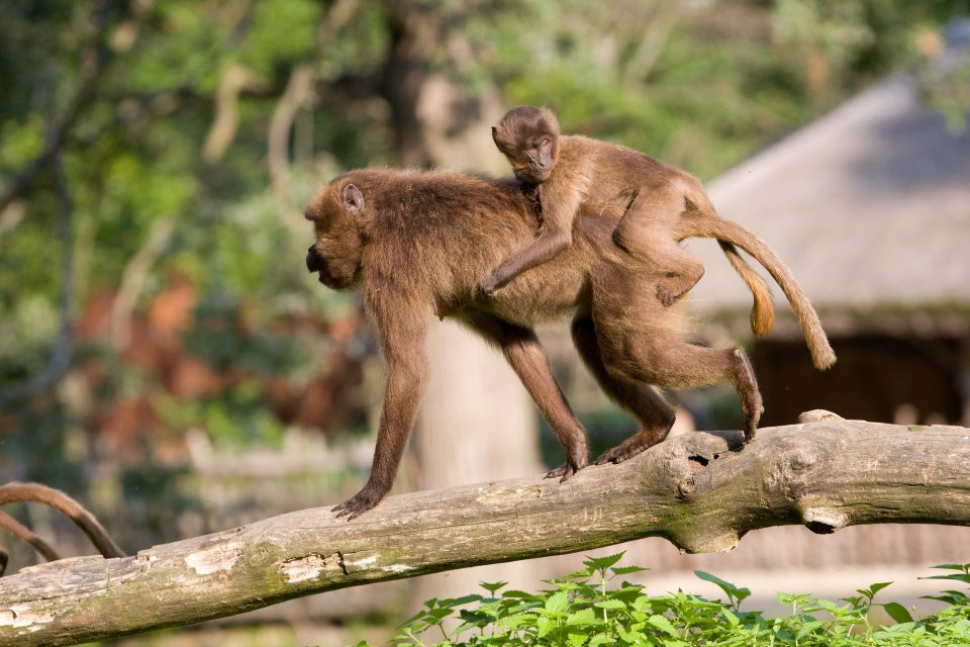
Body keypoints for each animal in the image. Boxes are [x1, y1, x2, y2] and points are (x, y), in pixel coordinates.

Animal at [306, 170, 836, 520]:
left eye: (317, 225)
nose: (309, 254)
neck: (380, 212)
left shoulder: (388, 269)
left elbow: (410, 368)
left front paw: (372, 492)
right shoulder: (475, 292)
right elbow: (518, 343)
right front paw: (576, 449)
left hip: (638, 275)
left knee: (630, 349)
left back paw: (738, 370)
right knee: (593, 338)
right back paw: (657, 427)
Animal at [488, 105, 784, 340]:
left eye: (545, 143)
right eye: (531, 147)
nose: (541, 161)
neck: (558, 153)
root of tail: (675, 174)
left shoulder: (556, 177)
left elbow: (557, 236)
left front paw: (495, 278)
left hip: (662, 194)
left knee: (631, 233)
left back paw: (693, 270)